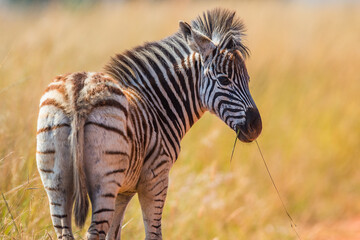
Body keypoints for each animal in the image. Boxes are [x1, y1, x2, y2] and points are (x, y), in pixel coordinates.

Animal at [35, 7, 262, 240]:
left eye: (248, 80)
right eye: (224, 80)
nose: (257, 126)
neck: (157, 105)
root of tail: (78, 90)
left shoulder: (123, 191)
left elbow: (114, 234)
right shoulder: (156, 179)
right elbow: (153, 234)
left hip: (56, 180)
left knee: (64, 231)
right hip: (104, 182)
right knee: (93, 233)